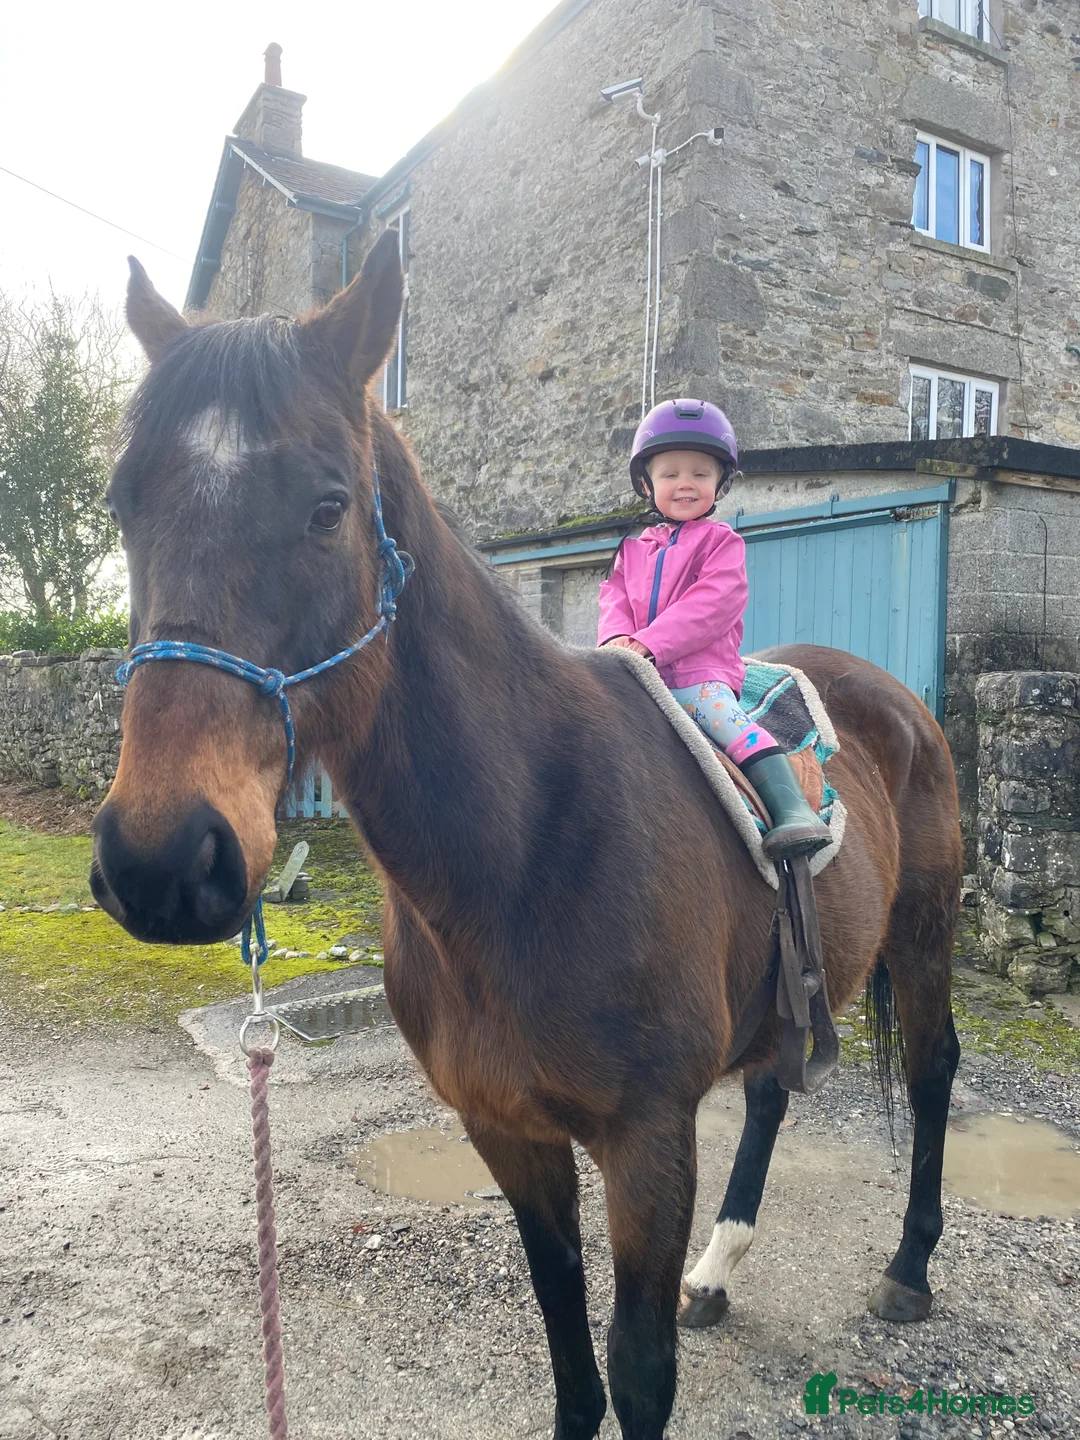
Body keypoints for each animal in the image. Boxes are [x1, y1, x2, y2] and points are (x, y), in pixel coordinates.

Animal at [92, 232, 963, 1440]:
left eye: (327, 506)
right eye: (124, 503)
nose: (163, 859)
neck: (529, 847)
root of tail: (888, 695)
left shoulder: (646, 1145)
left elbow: (635, 1376)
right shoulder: (508, 1133)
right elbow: (567, 1355)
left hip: (923, 940)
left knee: (931, 1078)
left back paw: (910, 1271)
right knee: (772, 1091)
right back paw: (720, 1271)